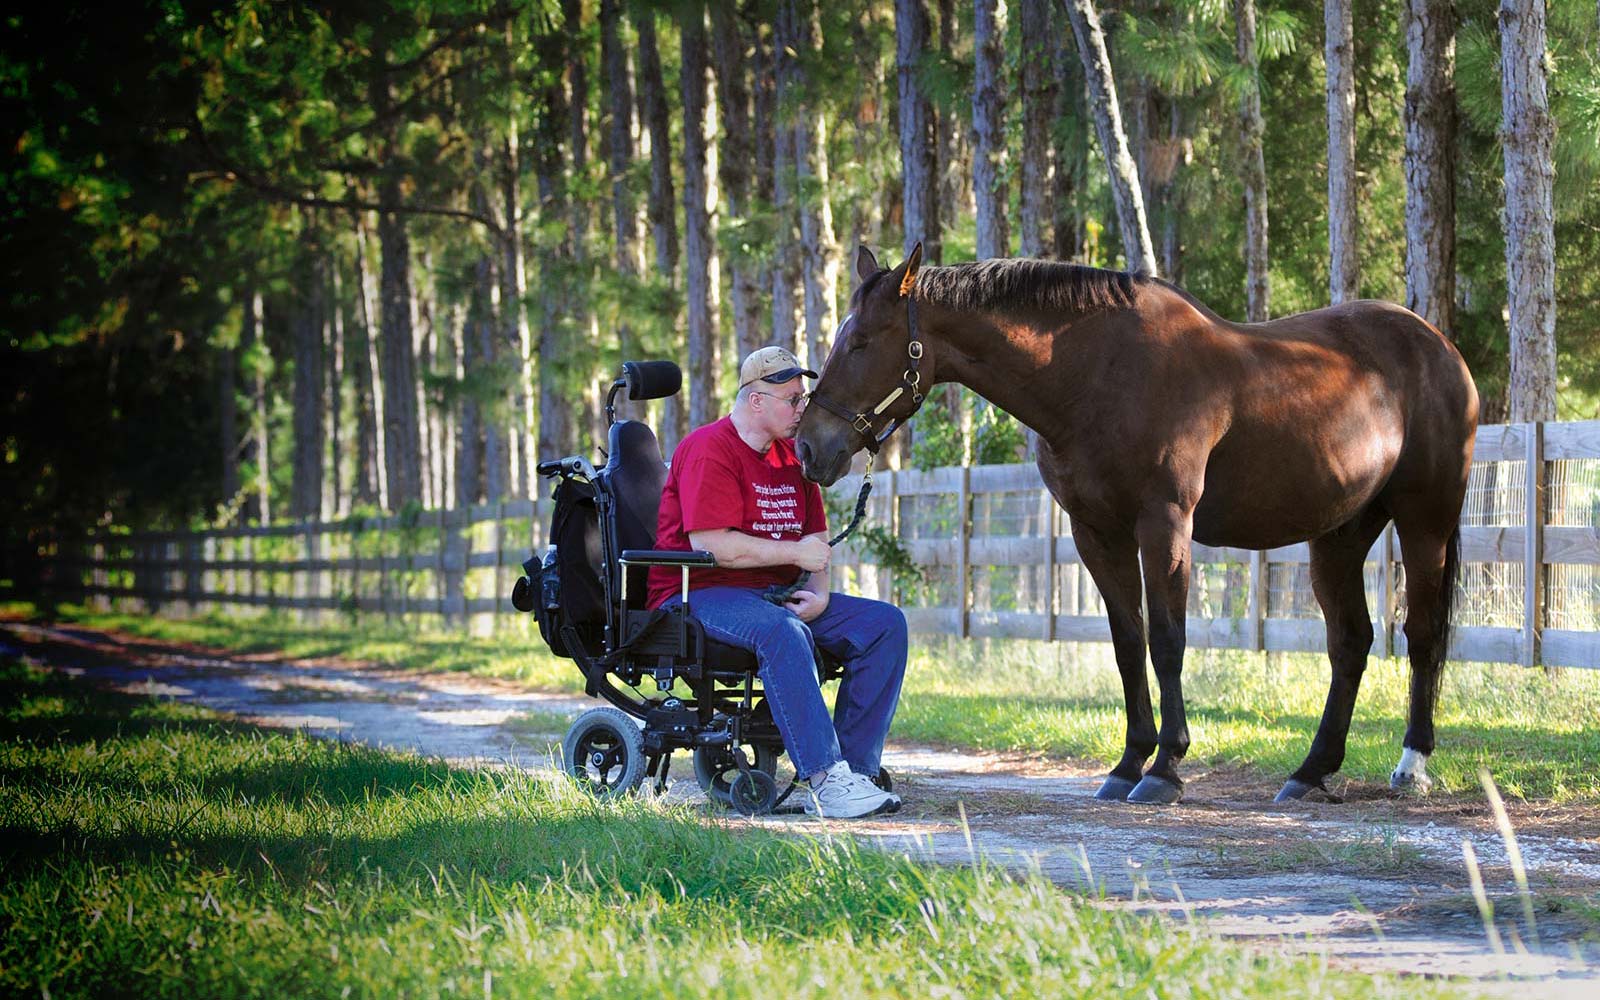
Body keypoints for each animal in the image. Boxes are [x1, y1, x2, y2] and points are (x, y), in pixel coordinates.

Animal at [797, 244, 1478, 805]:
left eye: (862, 342)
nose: (809, 447)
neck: (1099, 374)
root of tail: (1438, 346)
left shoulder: (1164, 525)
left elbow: (1167, 641)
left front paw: (1166, 769)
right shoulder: (1096, 534)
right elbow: (1128, 643)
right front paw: (1128, 764)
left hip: (1424, 522)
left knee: (1420, 636)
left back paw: (1411, 766)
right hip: (1338, 535)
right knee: (1351, 643)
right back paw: (1310, 773)